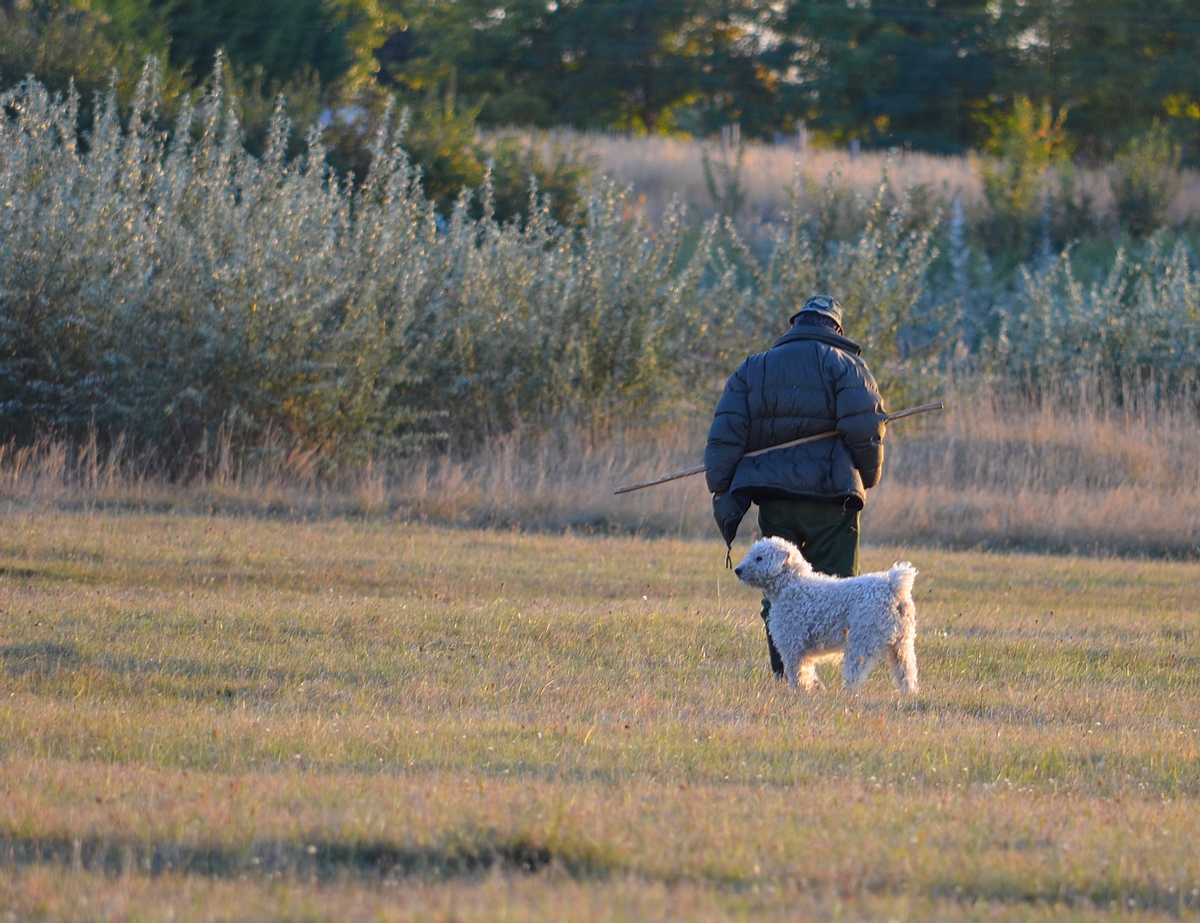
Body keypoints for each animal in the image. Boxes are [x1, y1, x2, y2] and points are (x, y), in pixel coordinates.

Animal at [729, 532, 916, 691]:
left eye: (759, 558)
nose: (737, 570)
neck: (792, 584)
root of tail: (894, 587)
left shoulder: (792, 643)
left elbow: (798, 672)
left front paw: (799, 693)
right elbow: (807, 671)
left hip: (862, 639)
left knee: (855, 673)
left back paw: (846, 695)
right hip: (902, 643)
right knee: (907, 671)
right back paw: (909, 694)